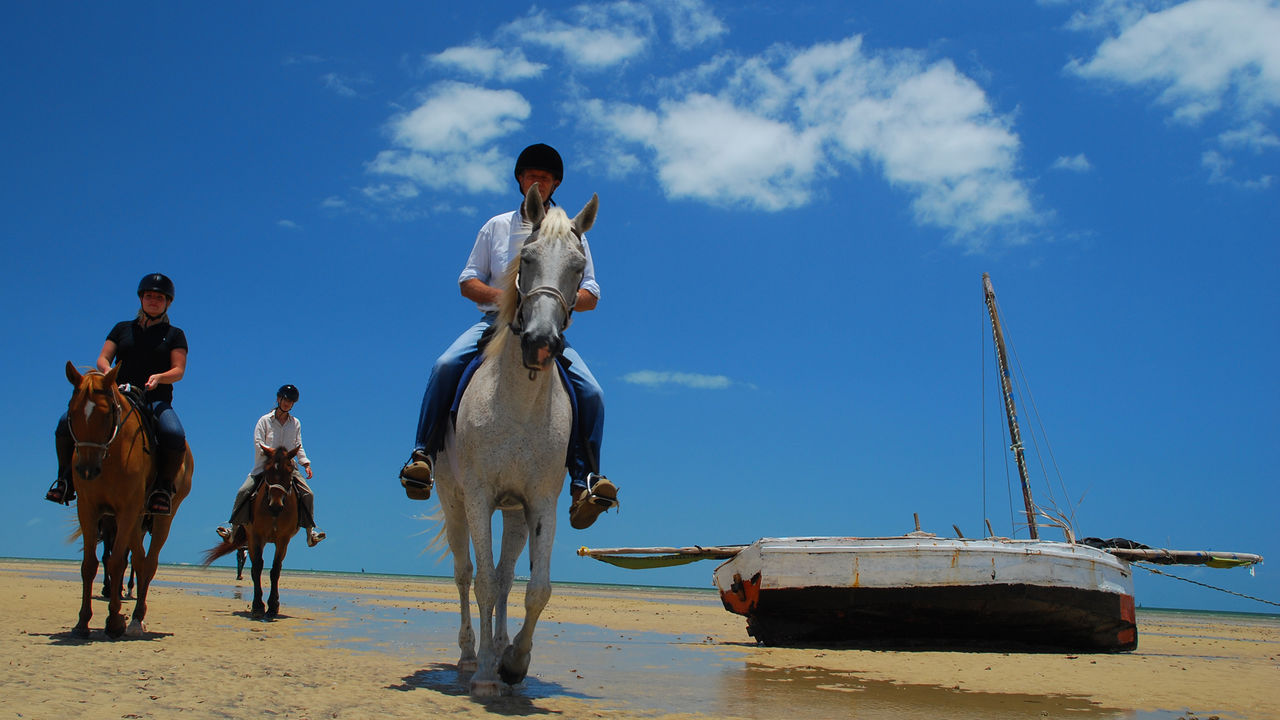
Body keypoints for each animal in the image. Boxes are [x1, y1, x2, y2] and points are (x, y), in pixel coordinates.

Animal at [62, 361, 192, 635]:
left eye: (107, 413)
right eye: (72, 412)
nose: (86, 470)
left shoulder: (126, 510)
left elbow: (115, 563)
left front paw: (113, 621)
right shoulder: (88, 510)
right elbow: (90, 564)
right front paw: (82, 622)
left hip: (161, 518)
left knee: (149, 563)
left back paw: (136, 617)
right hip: (135, 522)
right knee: (139, 561)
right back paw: (132, 616)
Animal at [203, 443, 300, 617]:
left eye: (290, 470)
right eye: (267, 470)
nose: (275, 506)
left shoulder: (283, 539)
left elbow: (275, 569)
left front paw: (273, 606)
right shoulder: (255, 536)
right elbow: (257, 568)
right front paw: (258, 606)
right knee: (254, 566)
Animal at [432, 184, 596, 696]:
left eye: (579, 266)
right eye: (525, 258)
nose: (541, 341)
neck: (519, 404)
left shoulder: (539, 502)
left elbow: (535, 588)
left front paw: (514, 662)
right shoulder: (479, 496)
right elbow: (482, 581)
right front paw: (487, 672)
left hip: (514, 514)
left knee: (505, 579)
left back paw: (500, 647)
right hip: (454, 502)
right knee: (466, 575)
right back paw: (470, 655)